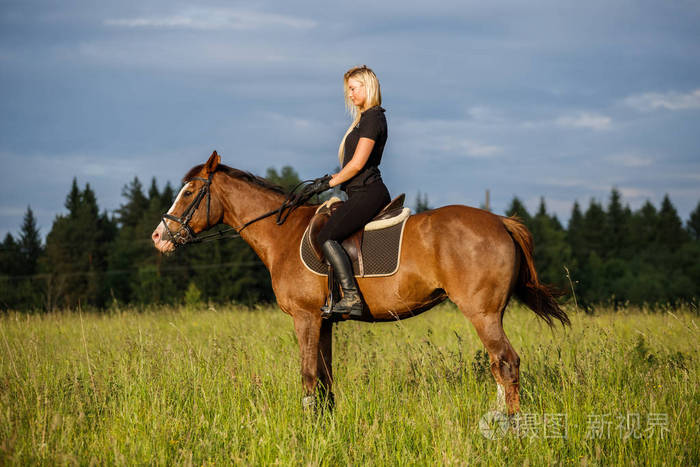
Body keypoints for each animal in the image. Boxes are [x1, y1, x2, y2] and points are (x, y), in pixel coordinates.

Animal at [150, 152, 568, 414]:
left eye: (189, 192)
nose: (159, 237)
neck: (281, 234)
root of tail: (500, 221)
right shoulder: (324, 321)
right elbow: (325, 380)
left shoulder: (305, 318)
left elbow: (308, 377)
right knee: (502, 365)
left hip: (482, 313)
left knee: (506, 363)